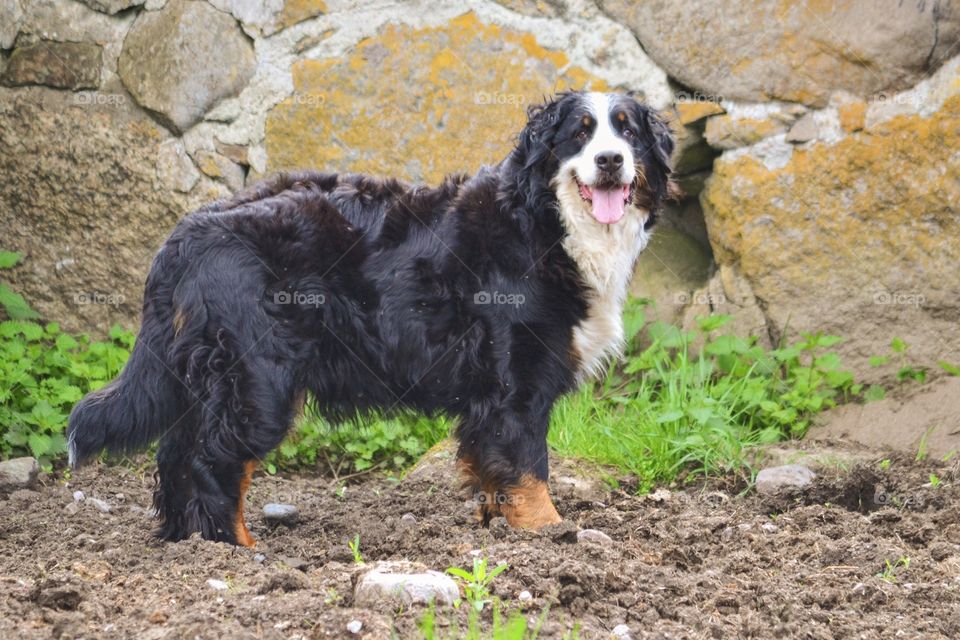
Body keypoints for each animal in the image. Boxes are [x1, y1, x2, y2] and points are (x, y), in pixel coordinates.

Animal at [67, 92, 676, 548]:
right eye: (579, 133)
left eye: (627, 133)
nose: (610, 160)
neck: (546, 224)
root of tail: (189, 229)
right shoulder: (515, 384)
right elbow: (526, 468)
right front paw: (549, 535)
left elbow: (491, 469)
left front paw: (499, 529)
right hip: (256, 381)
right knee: (211, 459)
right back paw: (233, 550)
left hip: (204, 377)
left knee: (176, 455)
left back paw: (184, 541)